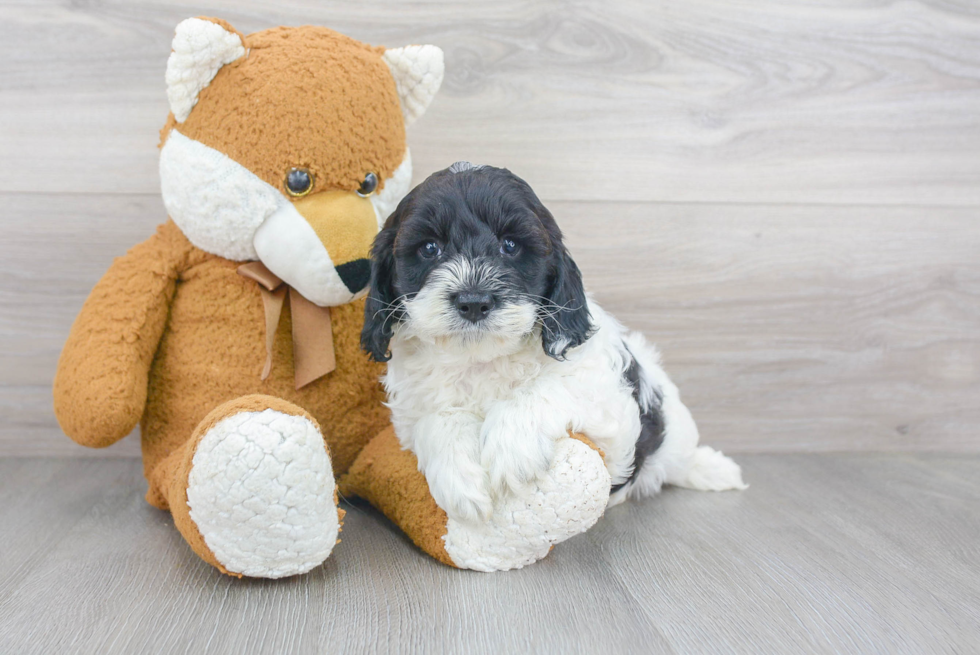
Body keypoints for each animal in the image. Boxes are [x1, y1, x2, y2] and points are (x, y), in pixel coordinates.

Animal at [364, 167, 748, 524]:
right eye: (430, 248)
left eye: (510, 245)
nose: (473, 301)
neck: (482, 359)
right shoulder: (410, 414)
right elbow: (436, 419)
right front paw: (460, 478)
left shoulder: (611, 413)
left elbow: (551, 386)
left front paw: (511, 448)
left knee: (678, 454)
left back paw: (714, 469)